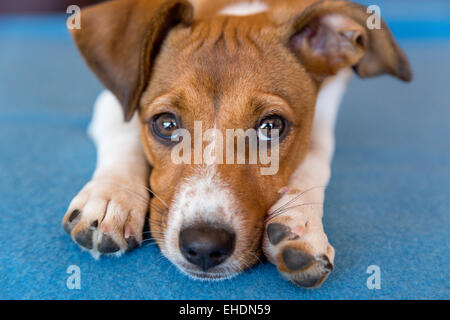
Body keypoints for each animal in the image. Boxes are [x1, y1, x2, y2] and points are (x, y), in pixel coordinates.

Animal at [63, 0, 412, 288]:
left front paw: (301, 220)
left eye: (271, 127)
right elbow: (125, 133)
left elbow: (315, 158)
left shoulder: (325, 110)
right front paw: (112, 197)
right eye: (166, 124)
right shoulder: (112, 103)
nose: (204, 247)